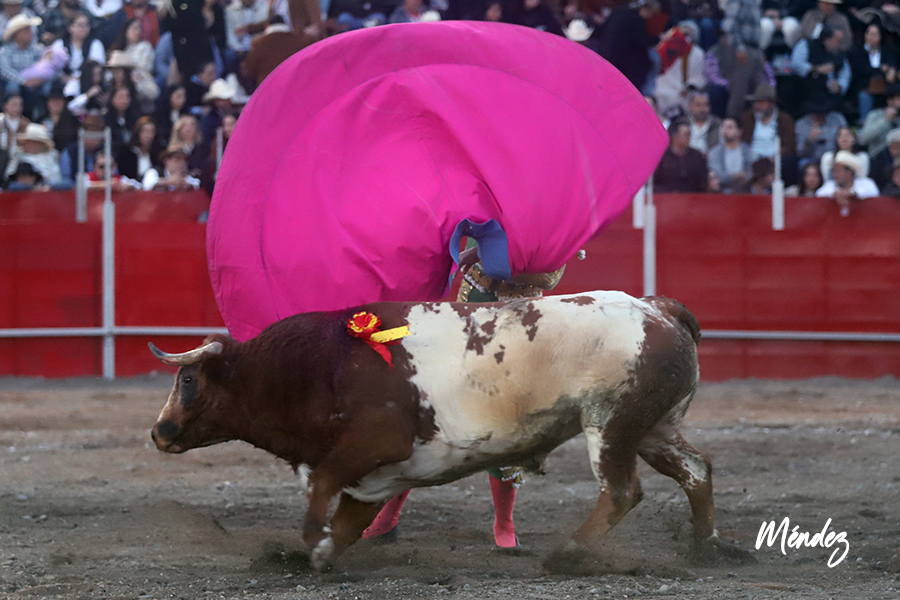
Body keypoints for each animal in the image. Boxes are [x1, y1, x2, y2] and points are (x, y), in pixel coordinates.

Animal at [149, 290, 729, 572]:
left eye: (187, 378)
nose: (159, 432)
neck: (320, 366)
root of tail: (656, 308)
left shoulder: (368, 448)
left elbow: (320, 495)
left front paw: (309, 546)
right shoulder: (374, 476)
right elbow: (347, 522)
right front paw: (317, 556)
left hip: (611, 425)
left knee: (622, 491)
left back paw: (569, 553)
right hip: (653, 428)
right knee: (696, 470)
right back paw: (706, 547)